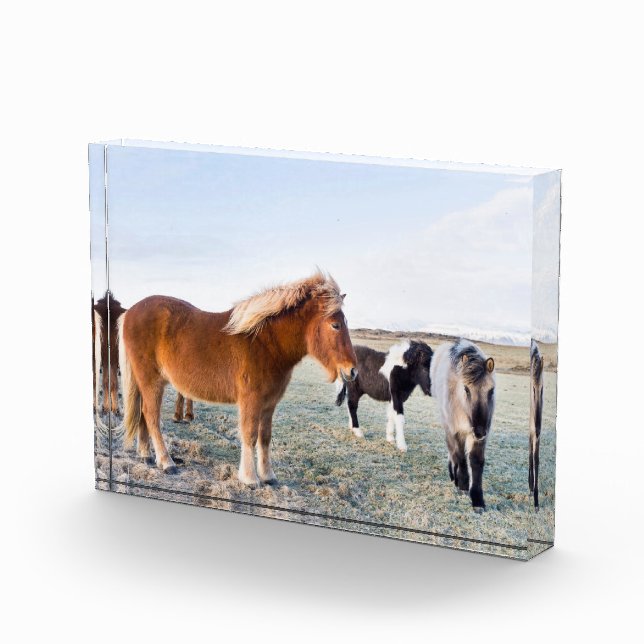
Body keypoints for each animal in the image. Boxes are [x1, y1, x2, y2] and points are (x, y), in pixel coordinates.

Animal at [118, 271, 358, 485]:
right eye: (335, 325)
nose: (353, 371)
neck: (265, 343)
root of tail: (129, 313)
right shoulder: (251, 400)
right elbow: (249, 435)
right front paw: (250, 478)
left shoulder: (269, 403)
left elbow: (265, 437)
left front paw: (268, 476)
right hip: (152, 381)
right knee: (151, 416)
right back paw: (166, 462)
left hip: (144, 383)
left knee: (143, 414)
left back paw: (146, 455)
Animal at [430, 339, 496, 509]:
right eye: (466, 389)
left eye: (491, 391)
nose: (479, 431)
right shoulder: (457, 431)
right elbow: (460, 457)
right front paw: (463, 486)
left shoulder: (481, 437)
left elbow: (476, 461)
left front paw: (478, 499)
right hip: (447, 423)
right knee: (451, 450)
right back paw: (454, 476)